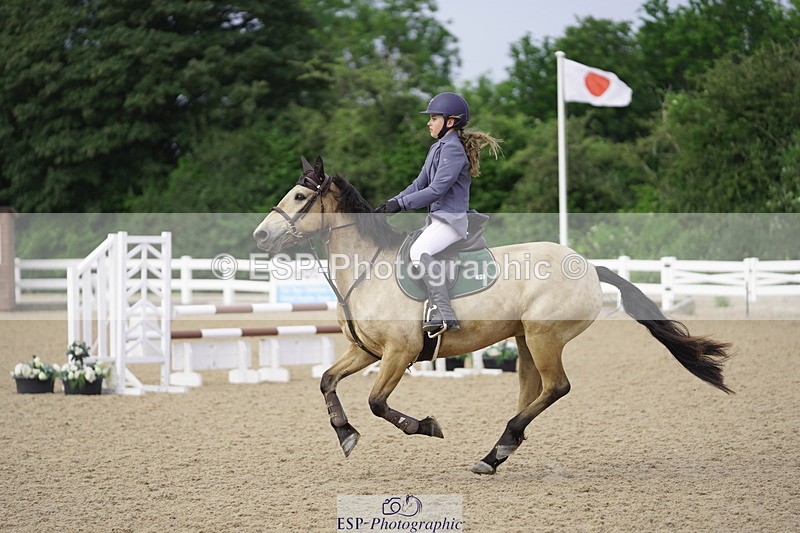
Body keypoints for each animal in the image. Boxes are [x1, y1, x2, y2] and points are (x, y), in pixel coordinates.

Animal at [253, 156, 732, 475]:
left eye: (300, 196)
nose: (260, 236)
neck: (366, 269)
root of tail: (586, 264)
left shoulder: (398, 353)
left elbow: (377, 403)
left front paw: (425, 426)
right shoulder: (367, 352)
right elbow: (326, 381)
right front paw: (346, 434)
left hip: (544, 337)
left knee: (556, 387)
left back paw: (497, 450)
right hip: (524, 340)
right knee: (534, 390)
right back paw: (498, 451)